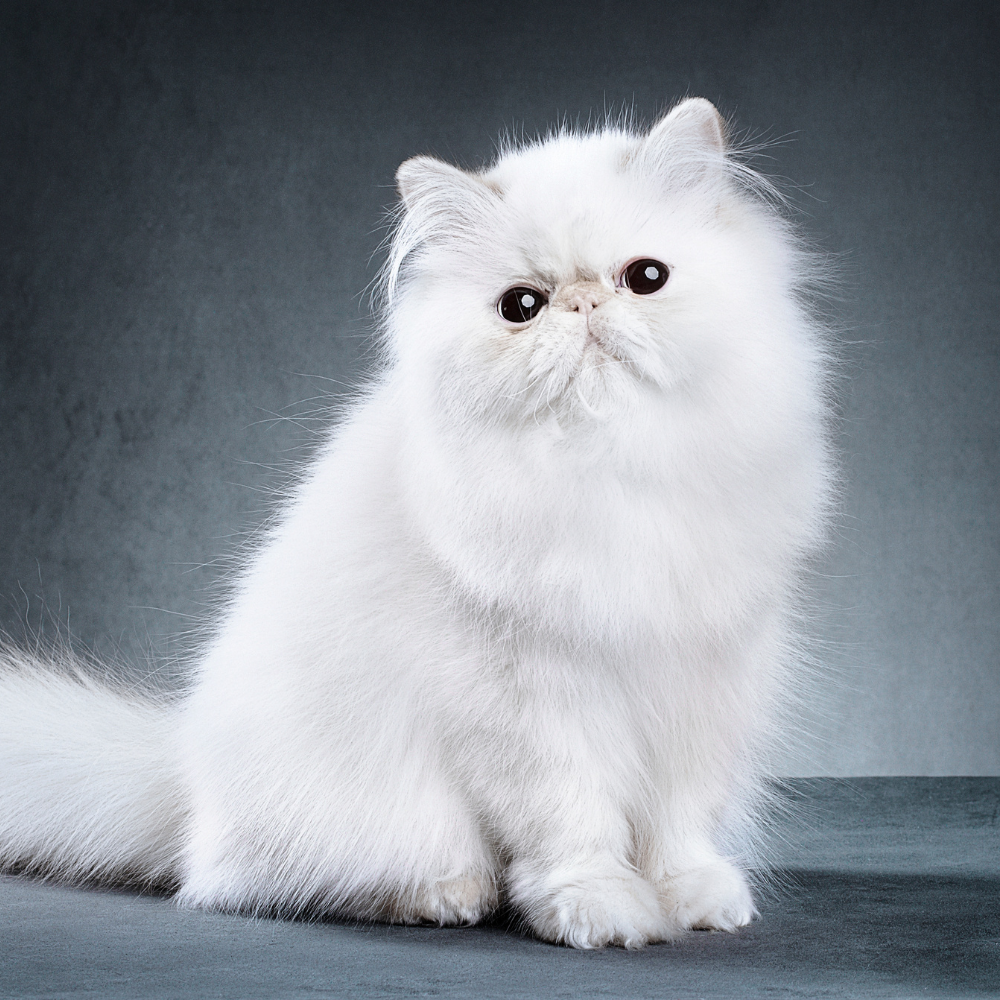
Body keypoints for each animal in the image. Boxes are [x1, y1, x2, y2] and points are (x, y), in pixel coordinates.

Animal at [0, 97, 828, 948]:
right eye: (522, 307)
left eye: (645, 279)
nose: (584, 304)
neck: (611, 472)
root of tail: (186, 787)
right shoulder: (530, 703)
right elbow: (574, 823)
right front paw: (601, 909)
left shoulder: (706, 680)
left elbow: (680, 820)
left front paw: (694, 900)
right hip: (367, 809)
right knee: (282, 880)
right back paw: (445, 896)